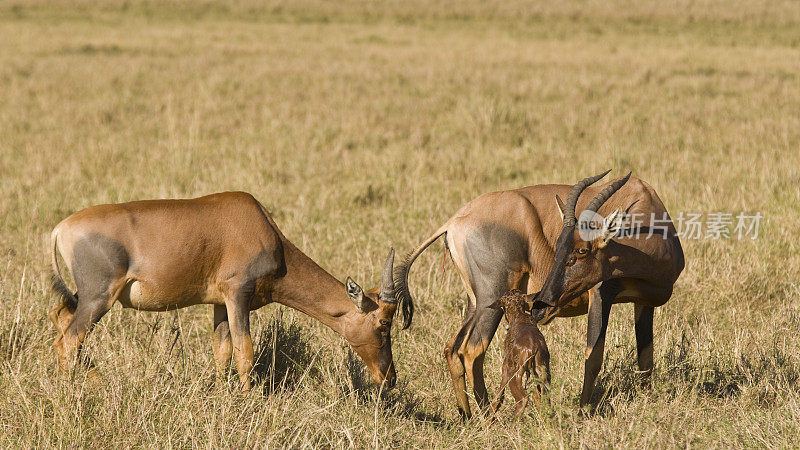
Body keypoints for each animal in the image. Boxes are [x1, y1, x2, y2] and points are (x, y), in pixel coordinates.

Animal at [50, 192, 400, 388]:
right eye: (384, 323)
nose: (390, 378)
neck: (261, 225)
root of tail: (60, 229)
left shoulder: (220, 303)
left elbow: (223, 352)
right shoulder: (237, 295)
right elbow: (246, 351)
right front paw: (248, 400)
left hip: (86, 298)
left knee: (61, 320)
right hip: (99, 298)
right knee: (69, 340)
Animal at [396, 171, 684, 416]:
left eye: (581, 251)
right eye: (557, 249)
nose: (540, 306)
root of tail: (454, 221)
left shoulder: (644, 303)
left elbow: (646, 358)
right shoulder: (601, 295)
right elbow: (593, 356)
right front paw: (582, 413)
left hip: (475, 301)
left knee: (452, 348)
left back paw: (467, 415)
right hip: (493, 296)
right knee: (472, 350)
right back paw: (487, 413)